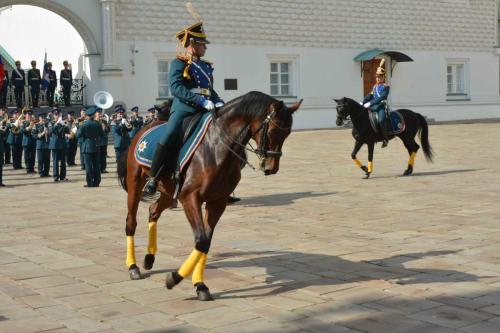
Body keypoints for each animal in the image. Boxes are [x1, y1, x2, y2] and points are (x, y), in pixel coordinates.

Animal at [117, 91, 302, 300]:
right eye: (271, 131)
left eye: (287, 134)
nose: (271, 167)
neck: (216, 147)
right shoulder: (189, 198)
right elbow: (201, 239)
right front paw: (174, 278)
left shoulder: (217, 201)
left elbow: (205, 242)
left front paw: (199, 285)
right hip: (135, 183)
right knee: (131, 222)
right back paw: (133, 267)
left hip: (169, 193)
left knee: (153, 210)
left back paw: (149, 257)